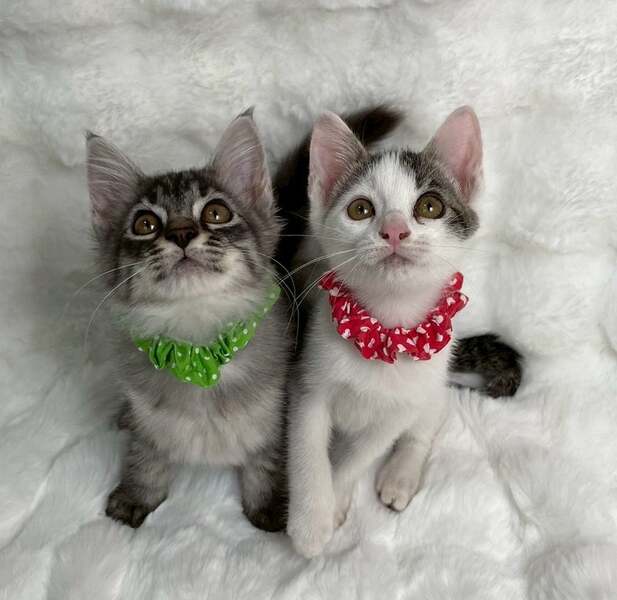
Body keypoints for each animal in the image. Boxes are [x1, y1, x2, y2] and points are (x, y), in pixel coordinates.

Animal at [86, 111, 290, 531]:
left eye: (216, 213)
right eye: (145, 223)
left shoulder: (276, 414)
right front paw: (137, 495)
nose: (181, 232)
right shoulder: (148, 424)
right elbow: (146, 458)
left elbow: (265, 461)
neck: (197, 351)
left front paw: (269, 506)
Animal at [284, 105, 503, 557]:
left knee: (424, 427)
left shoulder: (403, 406)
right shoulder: (307, 382)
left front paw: (335, 499)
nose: (395, 230)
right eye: (360, 209)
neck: (384, 330)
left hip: (435, 386)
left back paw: (401, 475)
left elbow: (358, 455)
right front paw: (312, 519)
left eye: (431, 206)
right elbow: (308, 450)